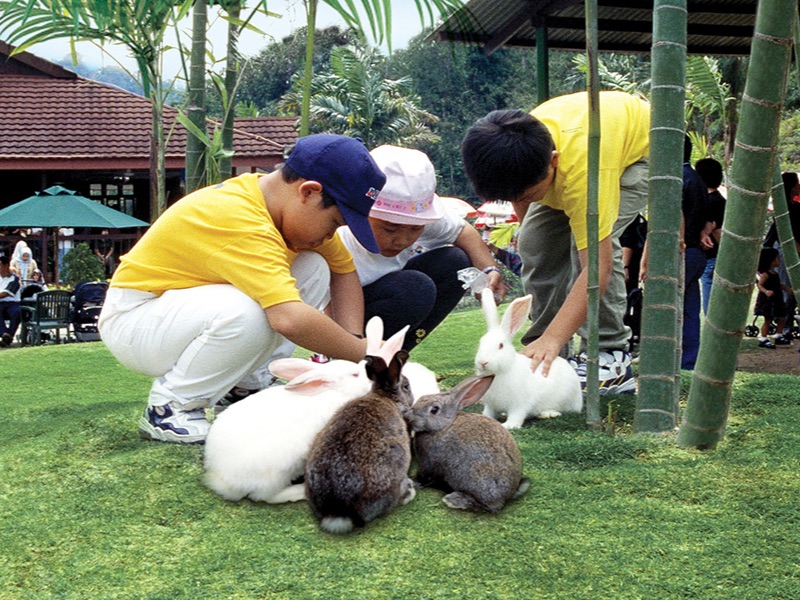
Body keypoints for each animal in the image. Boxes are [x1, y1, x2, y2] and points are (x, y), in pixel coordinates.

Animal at [203, 326, 410, 504]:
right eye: (355, 375)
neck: (334, 391)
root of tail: (223, 479)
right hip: (279, 472)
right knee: (265, 496)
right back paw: (298, 491)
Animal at [406, 376, 532, 510]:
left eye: (434, 410)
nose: (409, 417)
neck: (445, 425)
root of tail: (509, 494)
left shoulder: (429, 463)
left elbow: (424, 477)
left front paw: (413, 482)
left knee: (490, 507)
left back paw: (455, 499)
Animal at [476, 294, 580, 426]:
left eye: (500, 345)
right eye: (481, 343)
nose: (482, 362)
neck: (499, 373)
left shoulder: (519, 404)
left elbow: (517, 415)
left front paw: (508, 425)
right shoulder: (491, 405)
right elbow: (489, 413)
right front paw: (483, 418)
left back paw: (548, 413)